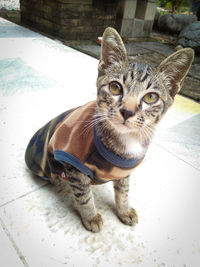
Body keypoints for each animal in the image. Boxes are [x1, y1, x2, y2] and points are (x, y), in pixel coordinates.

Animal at [25, 26, 194, 232]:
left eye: (151, 97)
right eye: (115, 87)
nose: (127, 111)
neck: (126, 142)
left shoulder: (124, 172)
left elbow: (123, 191)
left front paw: (124, 210)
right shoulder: (73, 164)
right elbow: (83, 196)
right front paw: (91, 216)